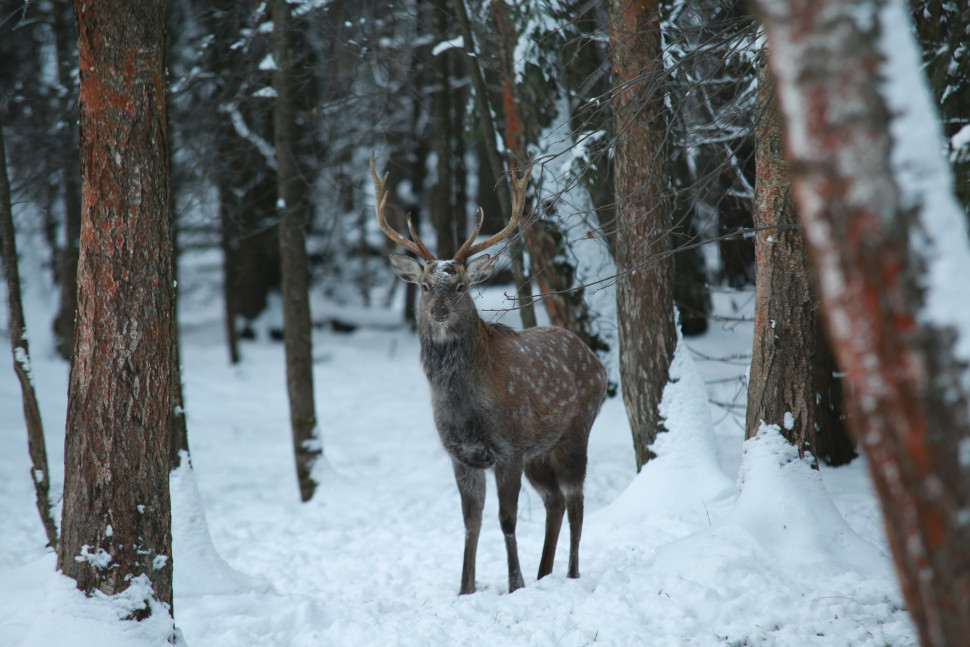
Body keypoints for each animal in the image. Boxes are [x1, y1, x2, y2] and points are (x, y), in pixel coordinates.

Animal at [370, 154, 604, 596]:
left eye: (460, 285)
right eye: (425, 286)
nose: (438, 311)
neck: (466, 408)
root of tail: (595, 360)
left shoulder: (508, 447)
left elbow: (506, 520)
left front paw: (514, 584)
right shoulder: (462, 455)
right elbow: (470, 523)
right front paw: (465, 588)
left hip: (576, 431)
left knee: (577, 501)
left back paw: (570, 574)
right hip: (539, 451)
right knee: (554, 501)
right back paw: (544, 572)